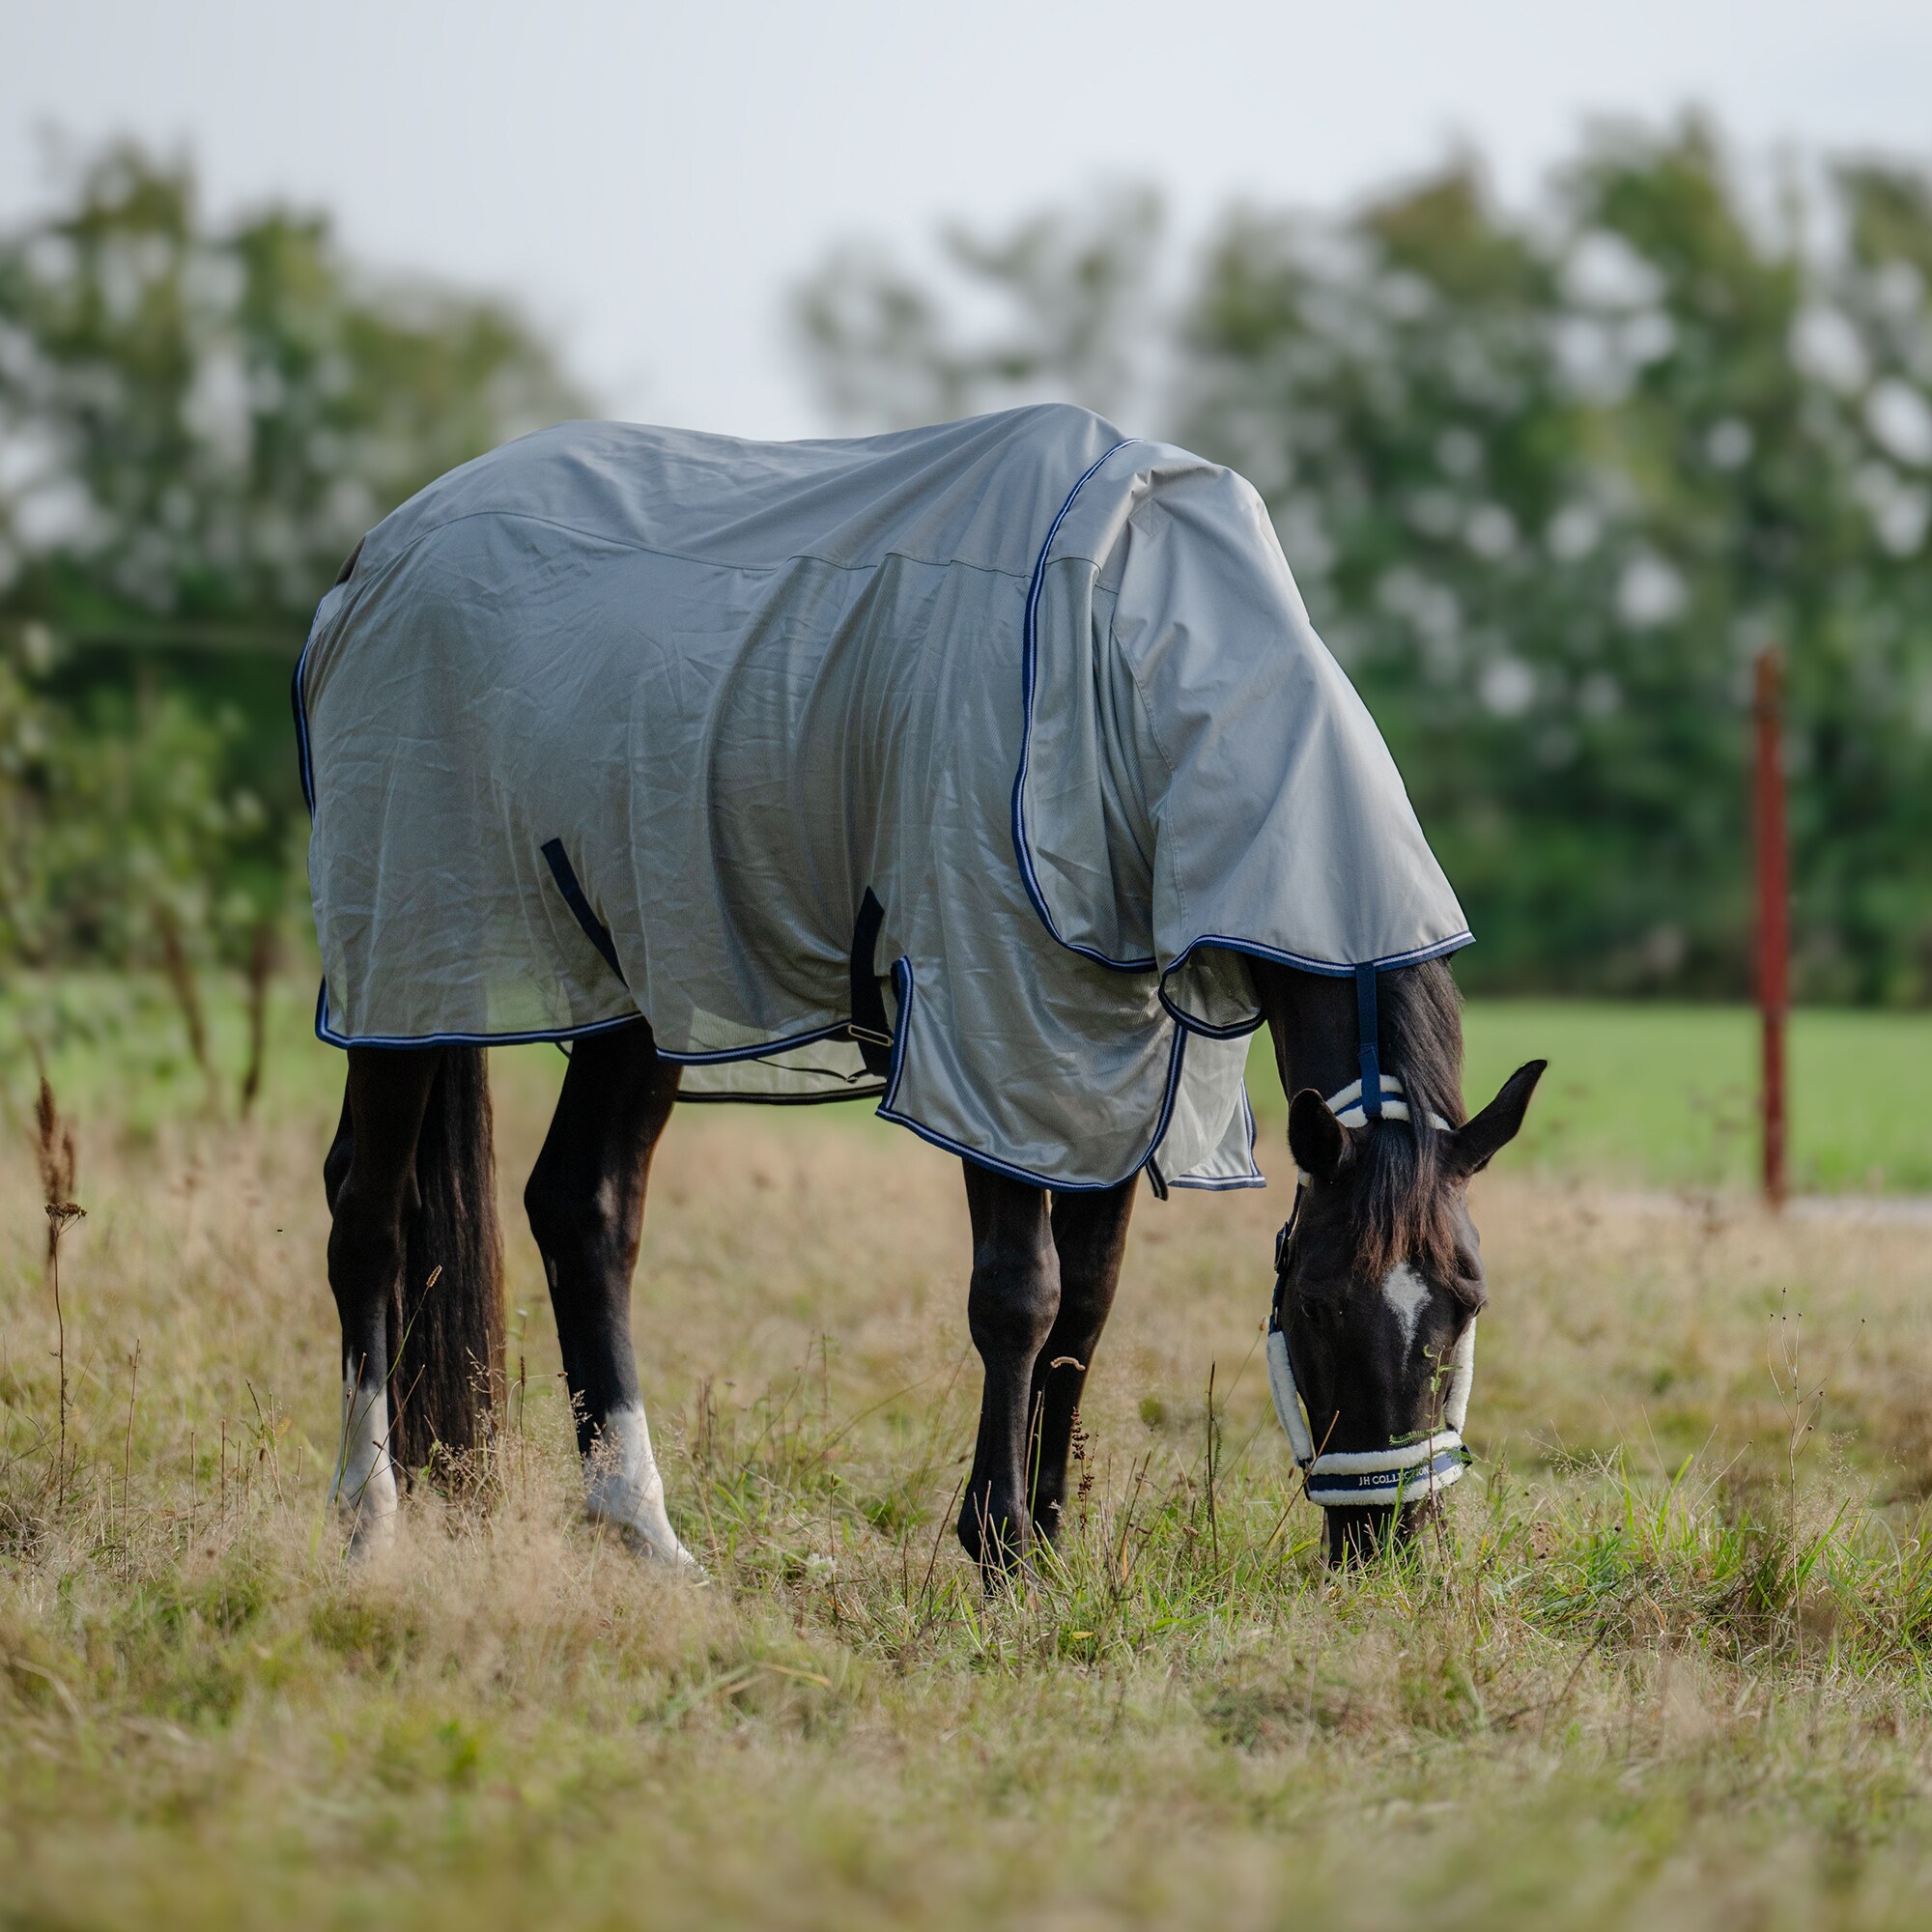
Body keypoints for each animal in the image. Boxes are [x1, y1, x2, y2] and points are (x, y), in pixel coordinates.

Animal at [301, 404, 1538, 1569]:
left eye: (1466, 1297)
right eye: (1320, 1297)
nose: (1386, 1540)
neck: (1127, 662)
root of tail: (373, 554)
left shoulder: (1113, 1075)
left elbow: (1087, 1301)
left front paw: (1048, 1541)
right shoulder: (988, 1035)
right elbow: (1019, 1294)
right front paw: (996, 1544)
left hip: (640, 987)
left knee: (582, 1208)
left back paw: (641, 1529)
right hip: (408, 969)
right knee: (365, 1207)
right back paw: (369, 1517)